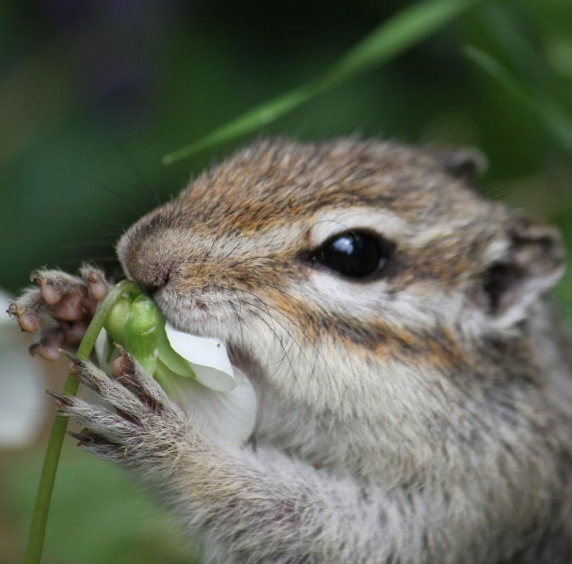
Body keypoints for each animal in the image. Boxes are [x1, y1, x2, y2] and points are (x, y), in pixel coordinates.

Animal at [7, 138, 572, 564]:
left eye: (354, 253)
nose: (141, 256)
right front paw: (78, 304)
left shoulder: (484, 499)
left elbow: (315, 531)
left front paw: (171, 440)